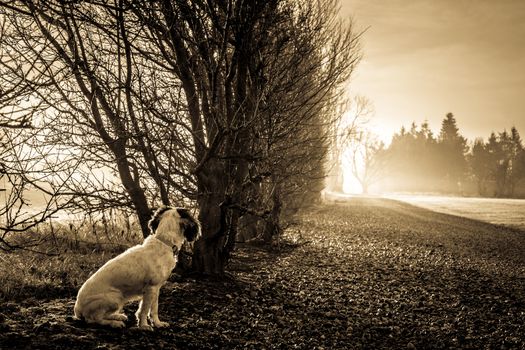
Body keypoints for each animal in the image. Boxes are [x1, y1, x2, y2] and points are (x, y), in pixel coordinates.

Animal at [71, 206, 199, 330]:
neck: (164, 242)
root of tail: (77, 309)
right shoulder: (151, 288)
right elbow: (145, 310)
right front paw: (144, 326)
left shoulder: (155, 289)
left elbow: (153, 309)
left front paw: (157, 323)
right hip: (115, 297)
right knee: (94, 319)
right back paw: (114, 323)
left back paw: (118, 316)